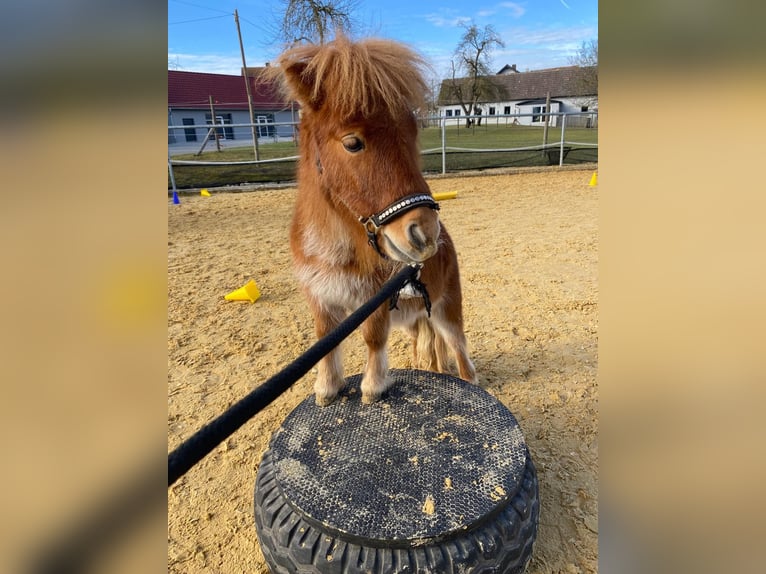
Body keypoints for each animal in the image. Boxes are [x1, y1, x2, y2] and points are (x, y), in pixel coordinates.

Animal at [268, 35, 476, 404]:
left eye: (412, 133)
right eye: (353, 142)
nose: (424, 233)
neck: (336, 249)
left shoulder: (375, 301)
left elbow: (373, 338)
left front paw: (373, 386)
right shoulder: (320, 298)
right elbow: (324, 340)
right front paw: (327, 387)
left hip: (446, 308)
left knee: (460, 351)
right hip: (415, 318)